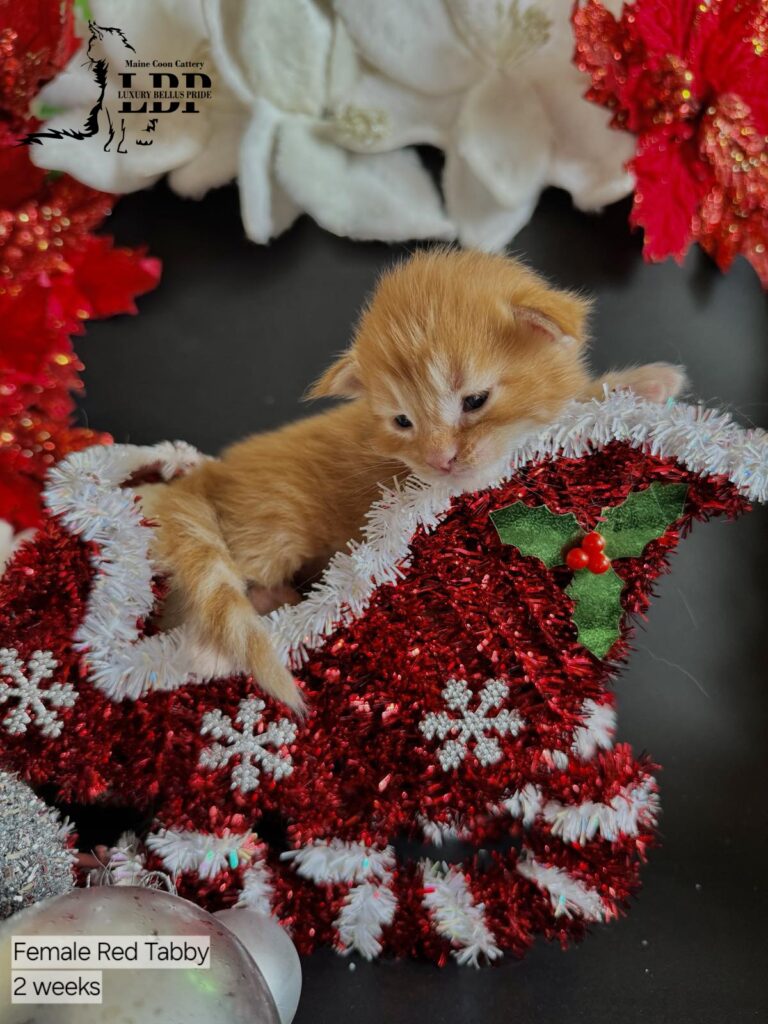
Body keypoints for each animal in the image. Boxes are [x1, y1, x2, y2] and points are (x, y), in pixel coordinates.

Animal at [147, 248, 688, 712]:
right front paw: (640, 381)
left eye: (475, 401)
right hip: (271, 528)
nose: (439, 459)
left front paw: (643, 384)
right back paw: (208, 648)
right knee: (190, 603)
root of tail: (212, 471)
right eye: (403, 421)